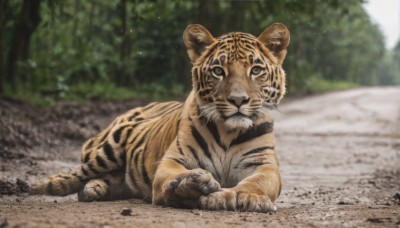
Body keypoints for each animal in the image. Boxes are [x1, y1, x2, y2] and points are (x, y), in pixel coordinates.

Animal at [33, 22, 290, 212]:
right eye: (218, 71)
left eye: (255, 70)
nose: (238, 100)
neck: (229, 131)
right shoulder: (174, 159)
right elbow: (173, 177)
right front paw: (191, 185)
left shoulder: (263, 163)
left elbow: (258, 182)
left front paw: (245, 197)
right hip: (109, 148)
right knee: (76, 173)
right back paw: (38, 186)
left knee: (110, 179)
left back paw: (94, 189)